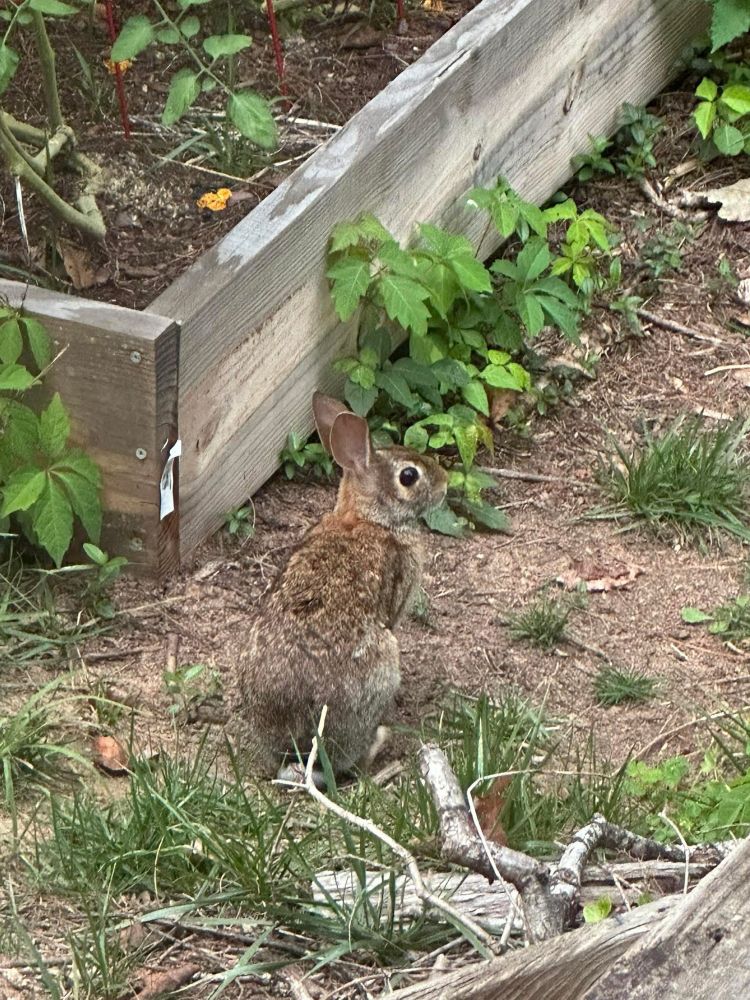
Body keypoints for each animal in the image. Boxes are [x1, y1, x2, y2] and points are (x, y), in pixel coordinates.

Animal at [230, 392, 448, 785]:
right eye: (409, 476)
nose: (446, 482)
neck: (368, 518)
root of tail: (300, 750)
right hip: (381, 667)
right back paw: (379, 742)